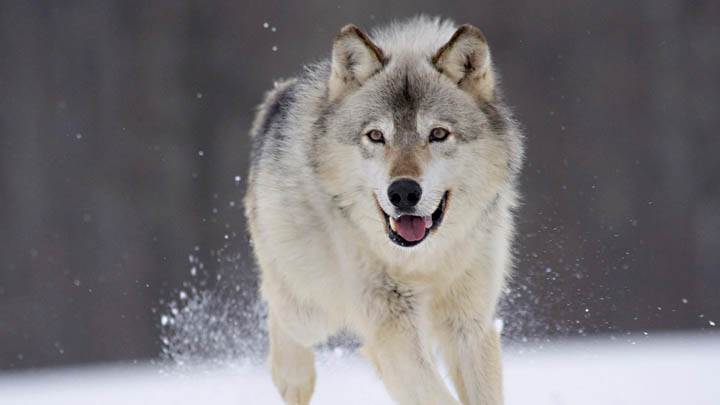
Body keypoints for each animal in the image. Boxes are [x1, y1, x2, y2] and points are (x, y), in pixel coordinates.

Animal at [244, 16, 524, 405]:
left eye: (438, 134)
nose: (403, 192)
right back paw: (294, 379)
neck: (423, 261)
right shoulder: (391, 325)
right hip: (312, 306)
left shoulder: (469, 323)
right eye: (376, 136)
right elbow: (436, 395)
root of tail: (278, 97)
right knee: (278, 308)